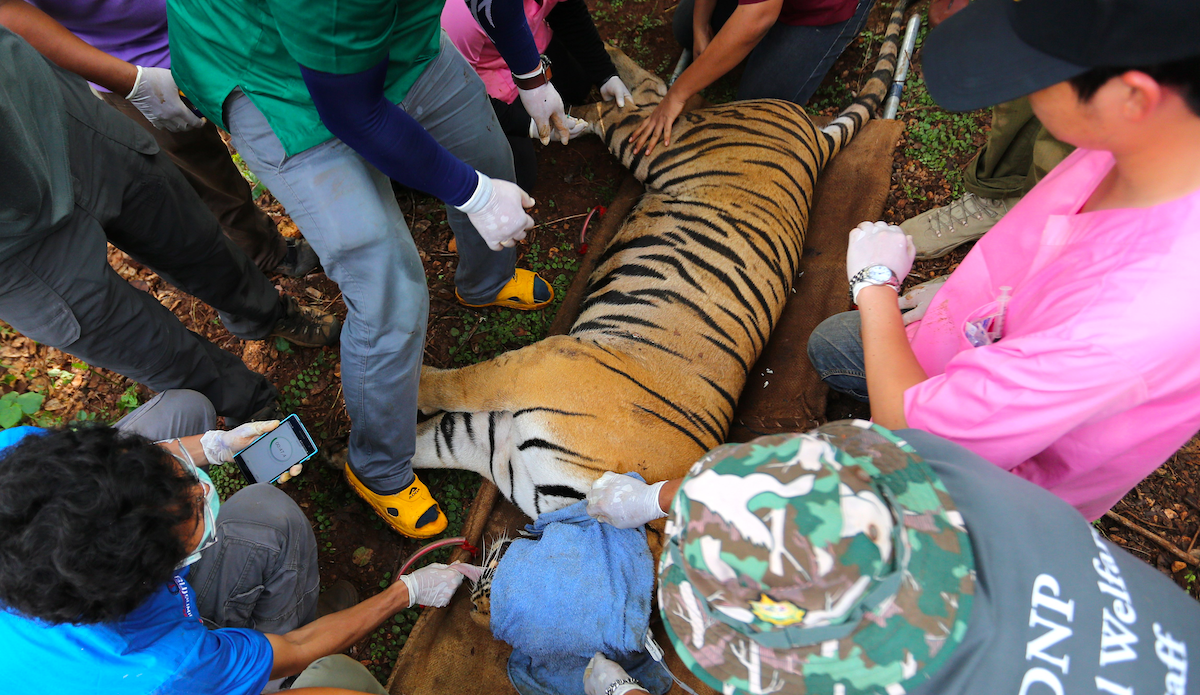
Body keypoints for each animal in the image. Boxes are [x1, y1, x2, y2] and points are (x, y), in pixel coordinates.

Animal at [413, 1, 911, 521]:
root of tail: (814, 135)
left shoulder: (496, 427)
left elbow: (441, 418)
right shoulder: (548, 363)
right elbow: (458, 384)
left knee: (633, 97)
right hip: (657, 141)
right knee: (639, 99)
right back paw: (574, 82)